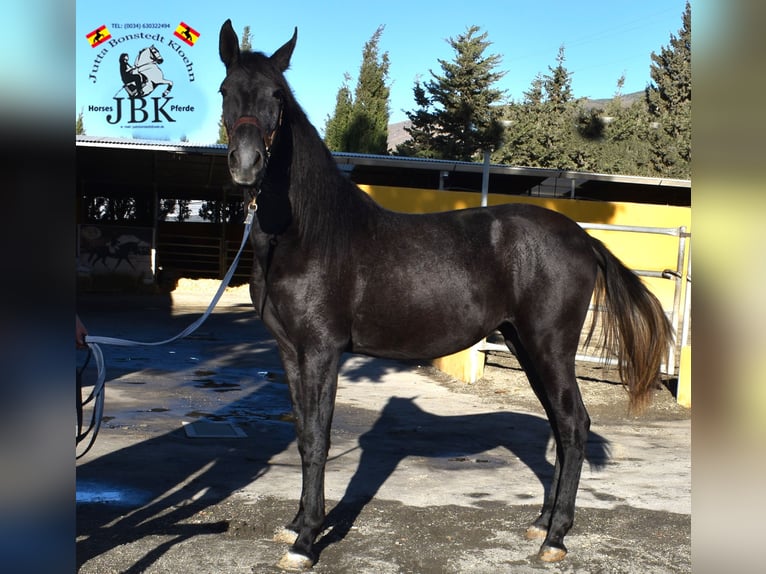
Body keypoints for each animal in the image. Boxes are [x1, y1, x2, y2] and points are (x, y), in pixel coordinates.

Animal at [218, 20, 672, 572]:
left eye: (277, 98)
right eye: (225, 91)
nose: (246, 164)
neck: (309, 233)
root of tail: (583, 238)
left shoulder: (322, 351)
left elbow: (319, 438)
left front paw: (307, 541)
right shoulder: (289, 351)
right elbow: (304, 432)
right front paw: (297, 525)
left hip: (550, 346)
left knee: (575, 424)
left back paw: (556, 538)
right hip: (524, 344)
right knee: (560, 427)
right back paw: (541, 523)